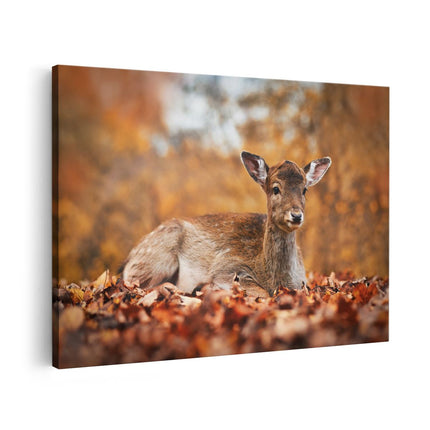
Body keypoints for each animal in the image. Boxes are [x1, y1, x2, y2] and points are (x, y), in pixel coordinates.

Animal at [122, 153, 332, 298]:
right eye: (275, 189)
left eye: (304, 190)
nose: (296, 215)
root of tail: (129, 258)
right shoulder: (227, 267)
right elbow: (261, 293)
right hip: (158, 257)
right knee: (133, 283)